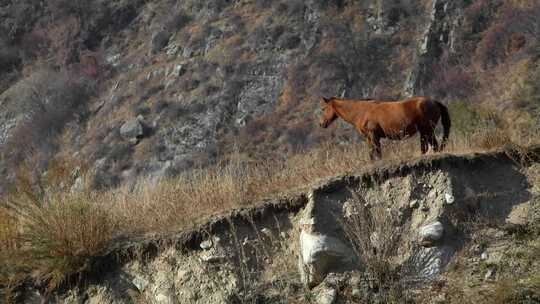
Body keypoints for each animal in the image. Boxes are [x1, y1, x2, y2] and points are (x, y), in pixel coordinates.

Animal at [318, 97, 450, 159]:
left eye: (323, 109)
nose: (321, 124)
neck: (361, 111)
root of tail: (434, 102)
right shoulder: (369, 138)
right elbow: (372, 153)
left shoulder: (373, 135)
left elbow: (377, 152)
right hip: (426, 131)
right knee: (432, 146)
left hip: (426, 130)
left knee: (430, 146)